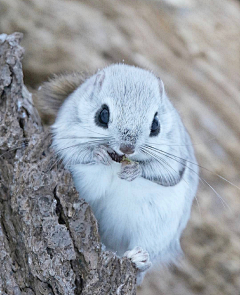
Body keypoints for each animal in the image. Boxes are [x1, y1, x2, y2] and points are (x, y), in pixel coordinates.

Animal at [35, 63, 199, 286]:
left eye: (156, 124)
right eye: (103, 115)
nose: (127, 147)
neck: (116, 163)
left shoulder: (175, 156)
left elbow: (166, 174)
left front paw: (134, 170)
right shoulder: (65, 135)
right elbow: (79, 156)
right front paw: (99, 154)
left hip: (156, 231)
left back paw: (139, 259)